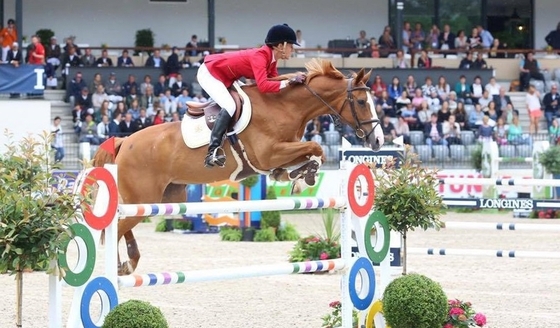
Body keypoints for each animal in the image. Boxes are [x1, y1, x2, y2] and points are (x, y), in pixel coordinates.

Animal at [94, 58, 384, 274]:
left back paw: (129, 263)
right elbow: (316, 148)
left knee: (124, 226)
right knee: (116, 229)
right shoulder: (268, 154)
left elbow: (312, 153)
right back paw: (120, 266)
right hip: (143, 197)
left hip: (158, 198)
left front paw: (298, 175)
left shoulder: (280, 152)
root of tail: (125, 141)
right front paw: (304, 176)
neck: (285, 107)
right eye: (361, 102)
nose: (378, 140)